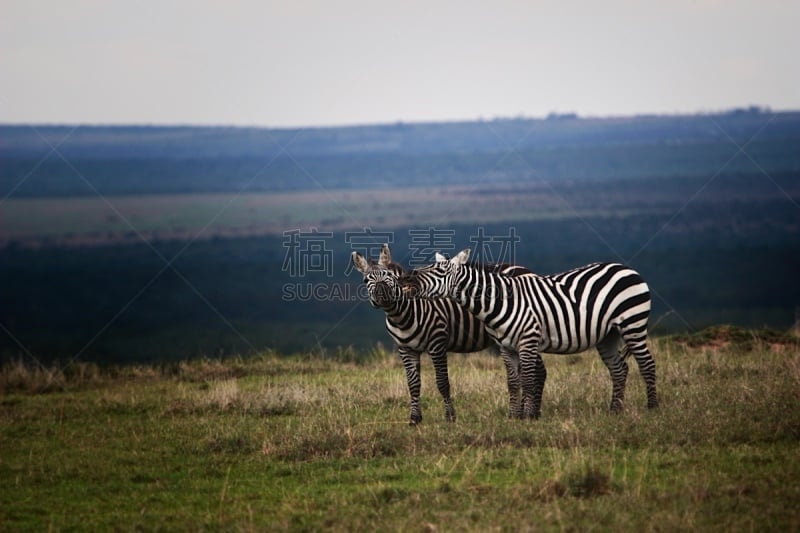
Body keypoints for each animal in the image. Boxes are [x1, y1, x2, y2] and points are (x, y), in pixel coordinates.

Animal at [354, 244, 528, 424]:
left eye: (388, 275)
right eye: (366, 280)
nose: (383, 296)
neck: (402, 316)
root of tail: (519, 267)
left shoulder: (437, 343)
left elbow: (442, 382)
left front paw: (450, 417)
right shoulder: (405, 349)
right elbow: (413, 384)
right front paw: (415, 419)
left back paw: (522, 414)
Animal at [404, 249, 660, 420]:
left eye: (439, 271)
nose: (408, 276)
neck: (500, 302)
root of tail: (625, 267)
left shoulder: (527, 340)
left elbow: (527, 379)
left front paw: (527, 416)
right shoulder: (506, 346)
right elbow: (513, 382)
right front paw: (513, 415)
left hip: (633, 323)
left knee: (647, 364)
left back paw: (652, 408)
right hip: (608, 335)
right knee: (619, 369)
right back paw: (615, 410)